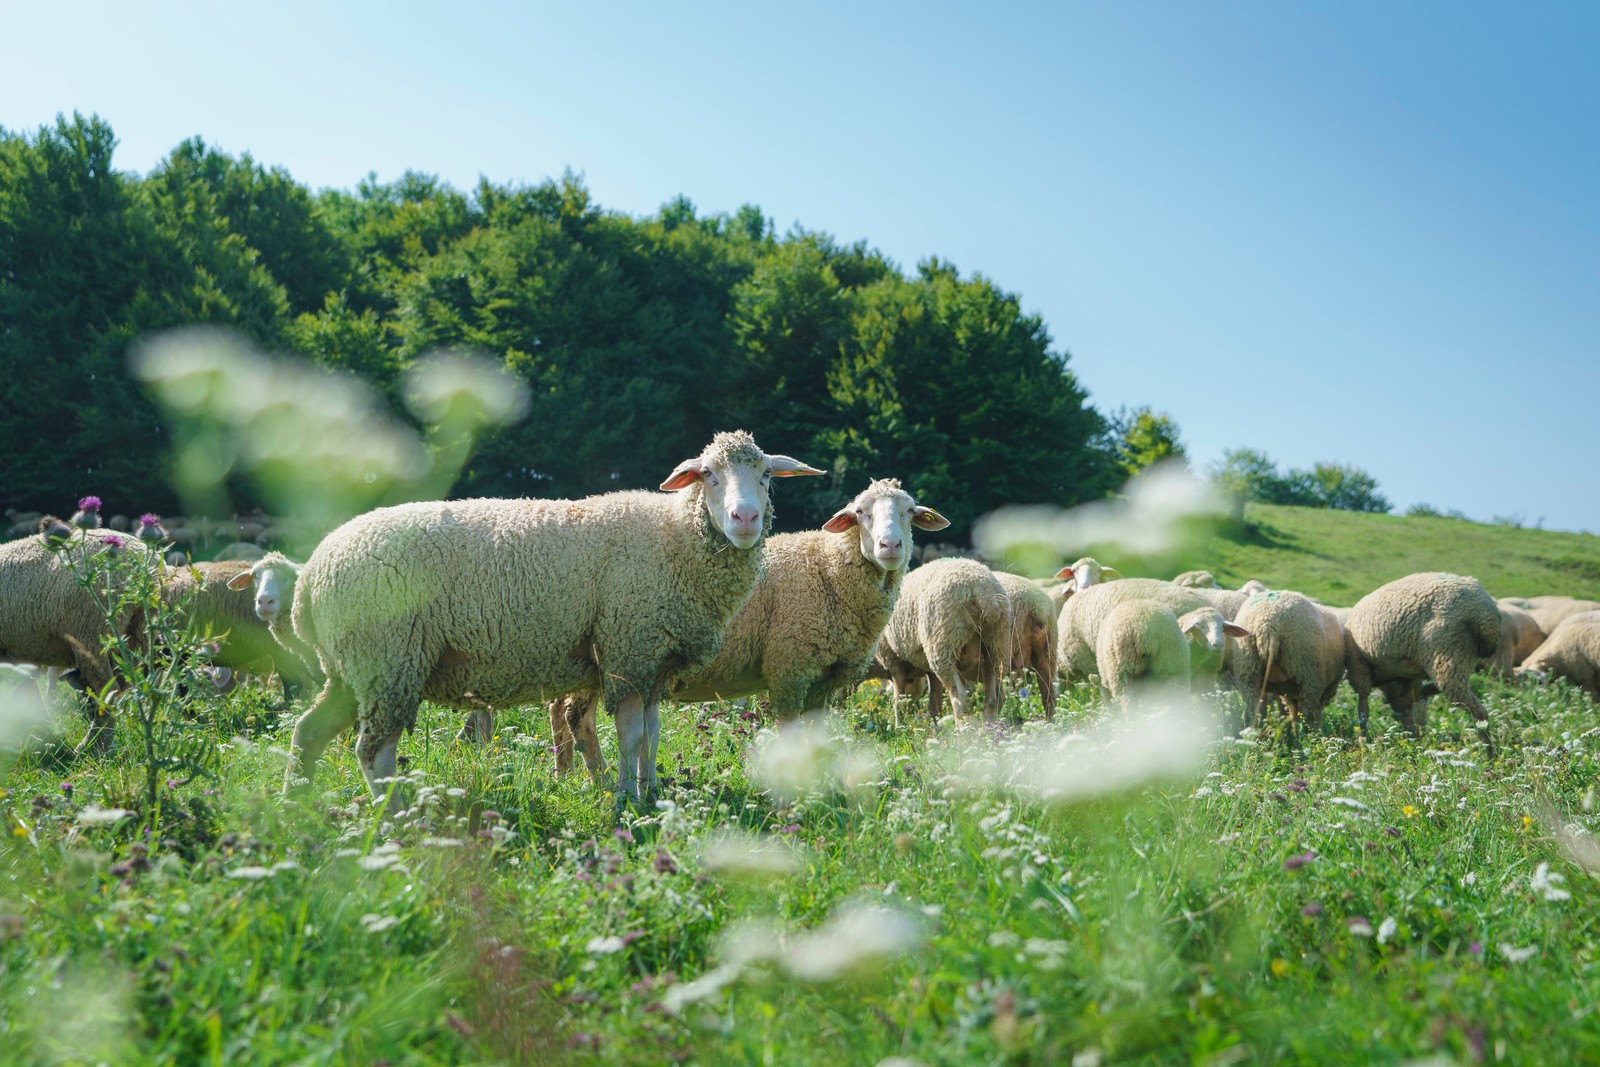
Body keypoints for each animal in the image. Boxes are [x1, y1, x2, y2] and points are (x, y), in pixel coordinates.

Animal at [280, 428, 819, 806]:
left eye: (766, 475)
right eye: (708, 474)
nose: (745, 519)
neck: (674, 539)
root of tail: (310, 580)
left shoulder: (654, 662)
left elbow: (652, 734)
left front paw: (651, 793)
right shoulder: (627, 647)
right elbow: (631, 735)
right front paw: (627, 801)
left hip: (354, 669)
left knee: (308, 732)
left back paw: (295, 804)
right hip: (387, 660)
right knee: (373, 752)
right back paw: (396, 816)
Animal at [876, 559, 1011, 726]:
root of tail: (982, 591)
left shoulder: (895, 664)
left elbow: (899, 702)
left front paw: (899, 727)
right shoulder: (933, 671)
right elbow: (933, 704)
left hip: (943, 646)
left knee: (959, 697)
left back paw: (964, 729)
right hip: (996, 644)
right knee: (994, 696)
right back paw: (989, 728)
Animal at [1228, 588, 1344, 729]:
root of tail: (1267, 622)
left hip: (1248, 669)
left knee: (1253, 709)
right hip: (1307, 673)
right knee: (1308, 714)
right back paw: (1310, 734)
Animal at [1344, 572, 1504, 755]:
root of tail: (1485, 616)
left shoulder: (1359, 667)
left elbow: (1363, 708)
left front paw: (1364, 739)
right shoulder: (1409, 676)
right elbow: (1409, 707)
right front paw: (1413, 739)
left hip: (1447, 658)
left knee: (1479, 712)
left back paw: (1489, 754)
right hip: (1458, 660)